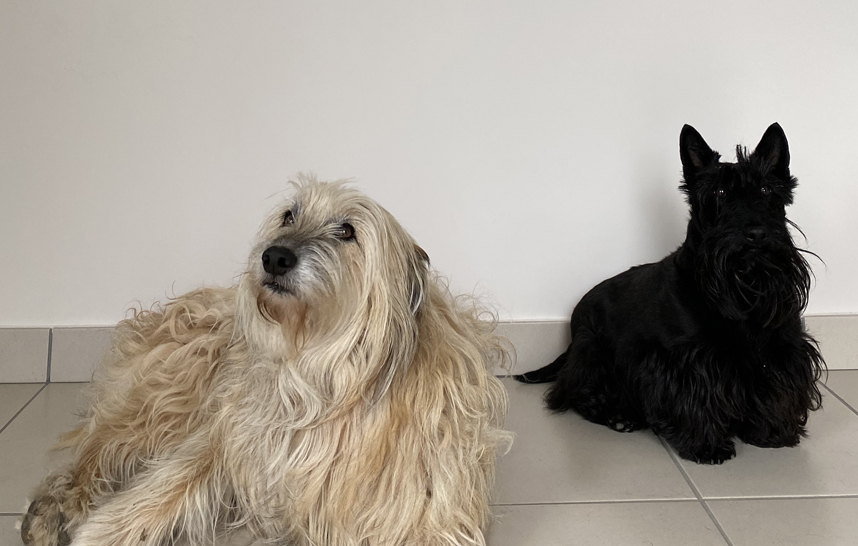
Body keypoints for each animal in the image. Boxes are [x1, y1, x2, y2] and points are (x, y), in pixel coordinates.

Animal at [21, 177, 508, 544]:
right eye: (289, 214)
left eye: (347, 231)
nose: (274, 256)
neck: (321, 379)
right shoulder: (227, 439)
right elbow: (169, 480)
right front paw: (104, 531)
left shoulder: (422, 505)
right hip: (172, 388)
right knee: (96, 450)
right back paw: (53, 509)